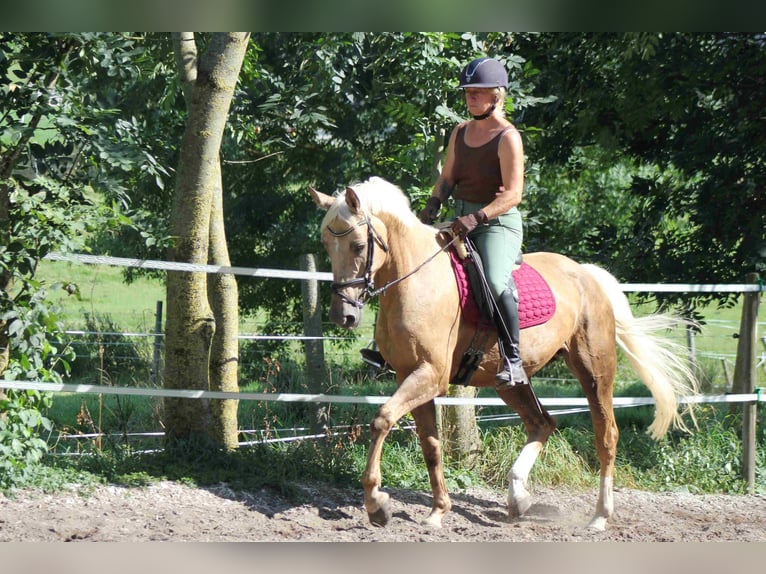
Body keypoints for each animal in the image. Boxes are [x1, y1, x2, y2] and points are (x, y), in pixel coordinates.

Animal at [308, 178, 700, 532]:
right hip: (511, 381)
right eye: (327, 244)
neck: (414, 280)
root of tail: (585, 275)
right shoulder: (412, 376)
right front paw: (438, 511)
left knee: (606, 436)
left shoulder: (429, 376)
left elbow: (381, 420)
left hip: (594, 372)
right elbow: (431, 445)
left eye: (358, 245)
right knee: (542, 423)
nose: (344, 316)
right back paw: (518, 498)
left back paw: (600, 516)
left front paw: (377, 504)